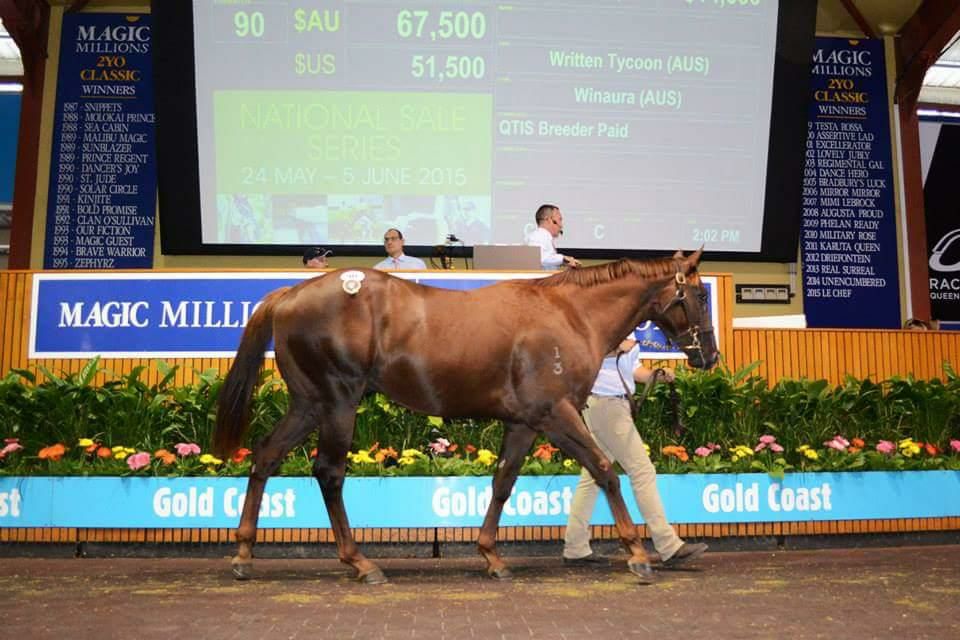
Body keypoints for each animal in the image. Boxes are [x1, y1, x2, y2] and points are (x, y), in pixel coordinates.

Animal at [214, 249, 716, 584]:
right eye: (697, 294)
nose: (708, 355)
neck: (570, 316)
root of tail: (289, 293)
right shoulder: (556, 413)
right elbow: (605, 470)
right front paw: (637, 553)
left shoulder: (523, 423)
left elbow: (503, 482)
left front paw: (491, 555)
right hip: (339, 401)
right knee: (329, 473)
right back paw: (360, 562)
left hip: (309, 403)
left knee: (266, 456)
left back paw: (243, 553)